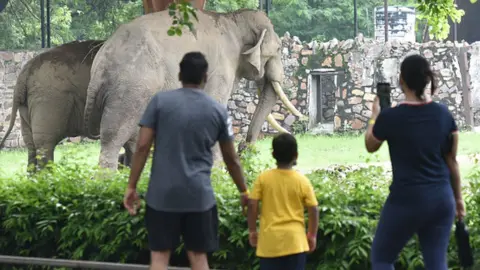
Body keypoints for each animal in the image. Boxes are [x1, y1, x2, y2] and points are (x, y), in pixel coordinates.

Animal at [83, 9, 304, 170]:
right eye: (278, 49)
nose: (244, 148)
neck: (233, 19)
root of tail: (101, 61)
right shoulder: (220, 70)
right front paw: (216, 172)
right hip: (130, 89)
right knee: (114, 138)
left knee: (134, 139)